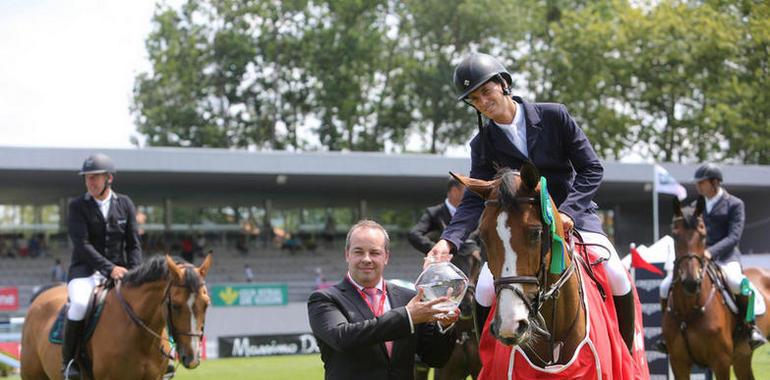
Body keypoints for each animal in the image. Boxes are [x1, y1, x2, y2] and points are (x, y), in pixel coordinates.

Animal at [660, 197, 768, 378]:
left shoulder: (721, 362)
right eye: (675, 235)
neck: (689, 309)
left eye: (703, 235)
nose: (691, 282)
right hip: (742, 357)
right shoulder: (678, 362)